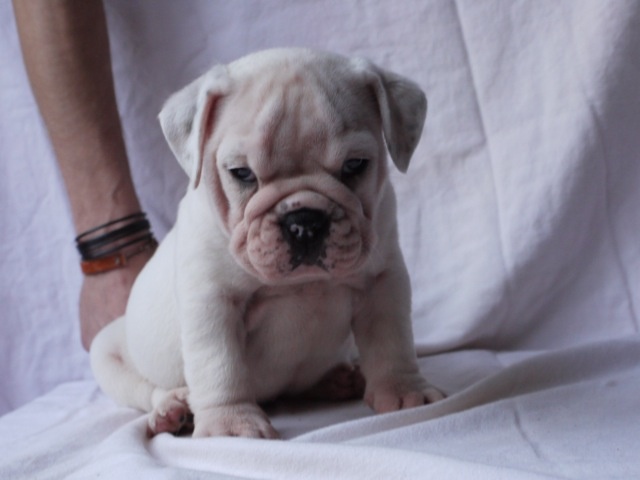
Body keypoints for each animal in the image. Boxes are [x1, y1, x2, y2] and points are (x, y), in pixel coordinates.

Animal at [90, 48, 444, 439]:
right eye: (242, 173)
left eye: (355, 165)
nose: (305, 222)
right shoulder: (212, 303)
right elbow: (220, 366)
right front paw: (229, 425)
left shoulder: (383, 282)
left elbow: (392, 342)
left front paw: (405, 391)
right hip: (107, 355)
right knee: (145, 389)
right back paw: (173, 408)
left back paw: (337, 379)